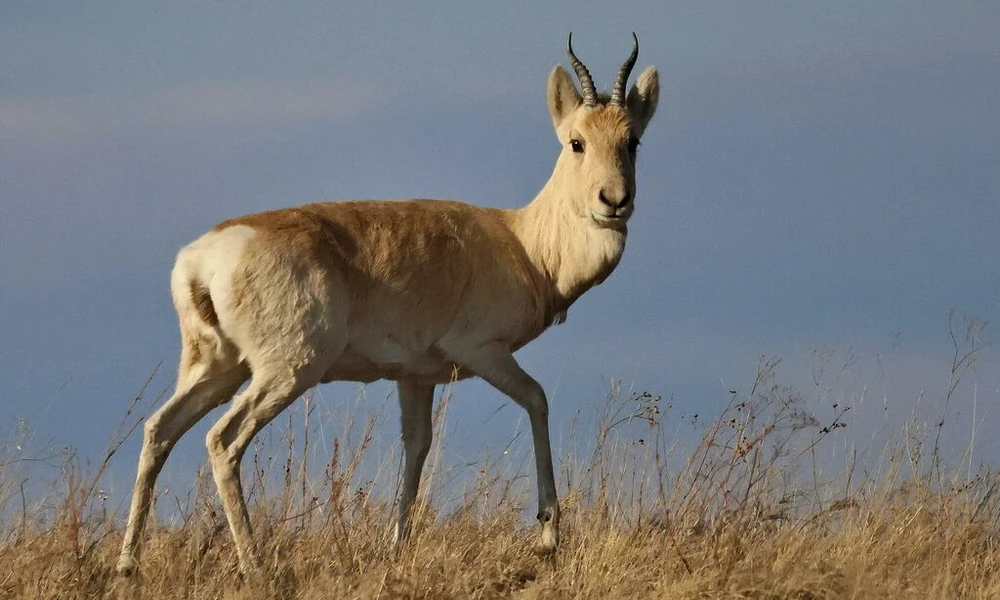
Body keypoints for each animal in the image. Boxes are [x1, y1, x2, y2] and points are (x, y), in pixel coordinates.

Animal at [116, 33, 659, 576]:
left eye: (632, 140)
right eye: (576, 141)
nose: (614, 200)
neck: (519, 240)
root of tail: (201, 257)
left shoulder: (415, 377)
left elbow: (416, 446)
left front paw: (397, 545)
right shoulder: (484, 352)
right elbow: (538, 399)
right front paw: (548, 536)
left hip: (216, 368)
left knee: (159, 428)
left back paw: (127, 563)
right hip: (286, 371)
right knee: (222, 441)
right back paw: (256, 566)